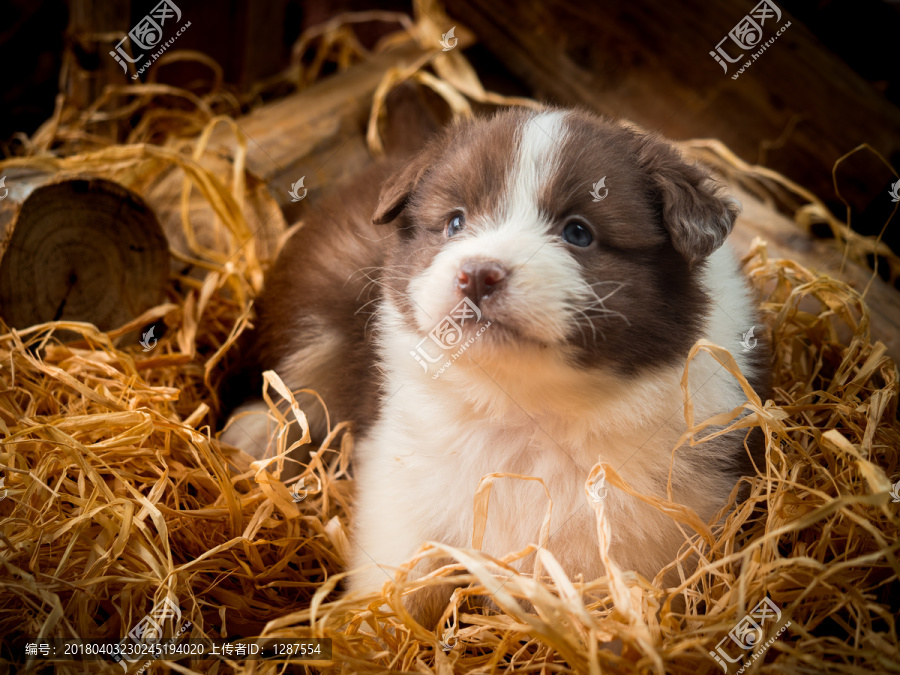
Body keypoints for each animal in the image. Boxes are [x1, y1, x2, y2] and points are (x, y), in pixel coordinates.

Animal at [221, 107, 768, 628]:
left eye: (578, 233)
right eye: (455, 222)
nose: (478, 274)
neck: (524, 407)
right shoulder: (400, 485)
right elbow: (397, 582)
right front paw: (367, 635)